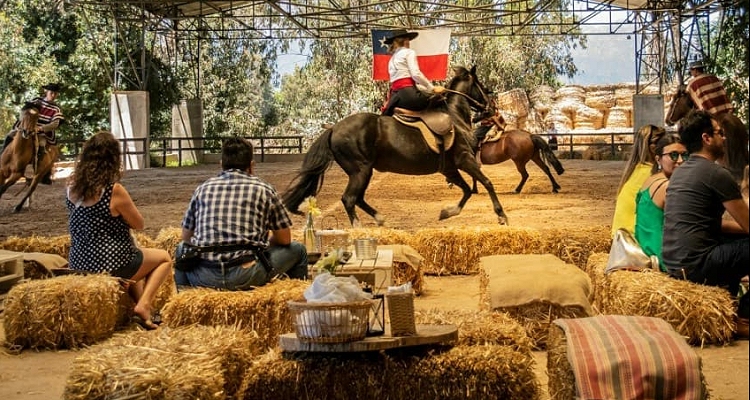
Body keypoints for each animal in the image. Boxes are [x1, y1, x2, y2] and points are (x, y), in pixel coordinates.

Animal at [284, 65, 512, 225]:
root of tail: (333, 128)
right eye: (481, 86)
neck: (454, 116)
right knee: (349, 199)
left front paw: (446, 213)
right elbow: (486, 182)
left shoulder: (449, 168)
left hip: (363, 172)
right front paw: (501, 215)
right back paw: (359, 229)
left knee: (358, 198)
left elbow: (466, 190)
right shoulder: (465, 159)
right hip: (360, 170)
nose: (491, 108)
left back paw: (379, 218)